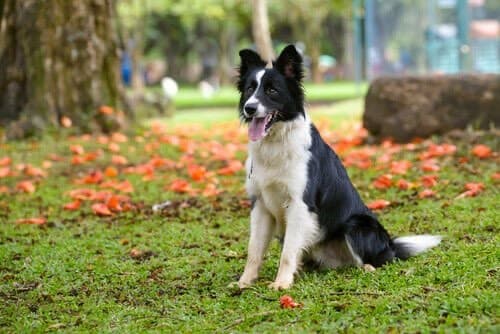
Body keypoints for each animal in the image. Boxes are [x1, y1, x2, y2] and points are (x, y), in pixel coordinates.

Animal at [236, 44, 440, 290]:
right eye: (249, 89)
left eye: (272, 91)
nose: (249, 108)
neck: (275, 144)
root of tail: (390, 244)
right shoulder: (260, 204)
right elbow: (254, 250)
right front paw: (245, 281)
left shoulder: (300, 204)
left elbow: (287, 253)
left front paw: (281, 283)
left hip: (357, 226)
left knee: (375, 260)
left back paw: (368, 267)